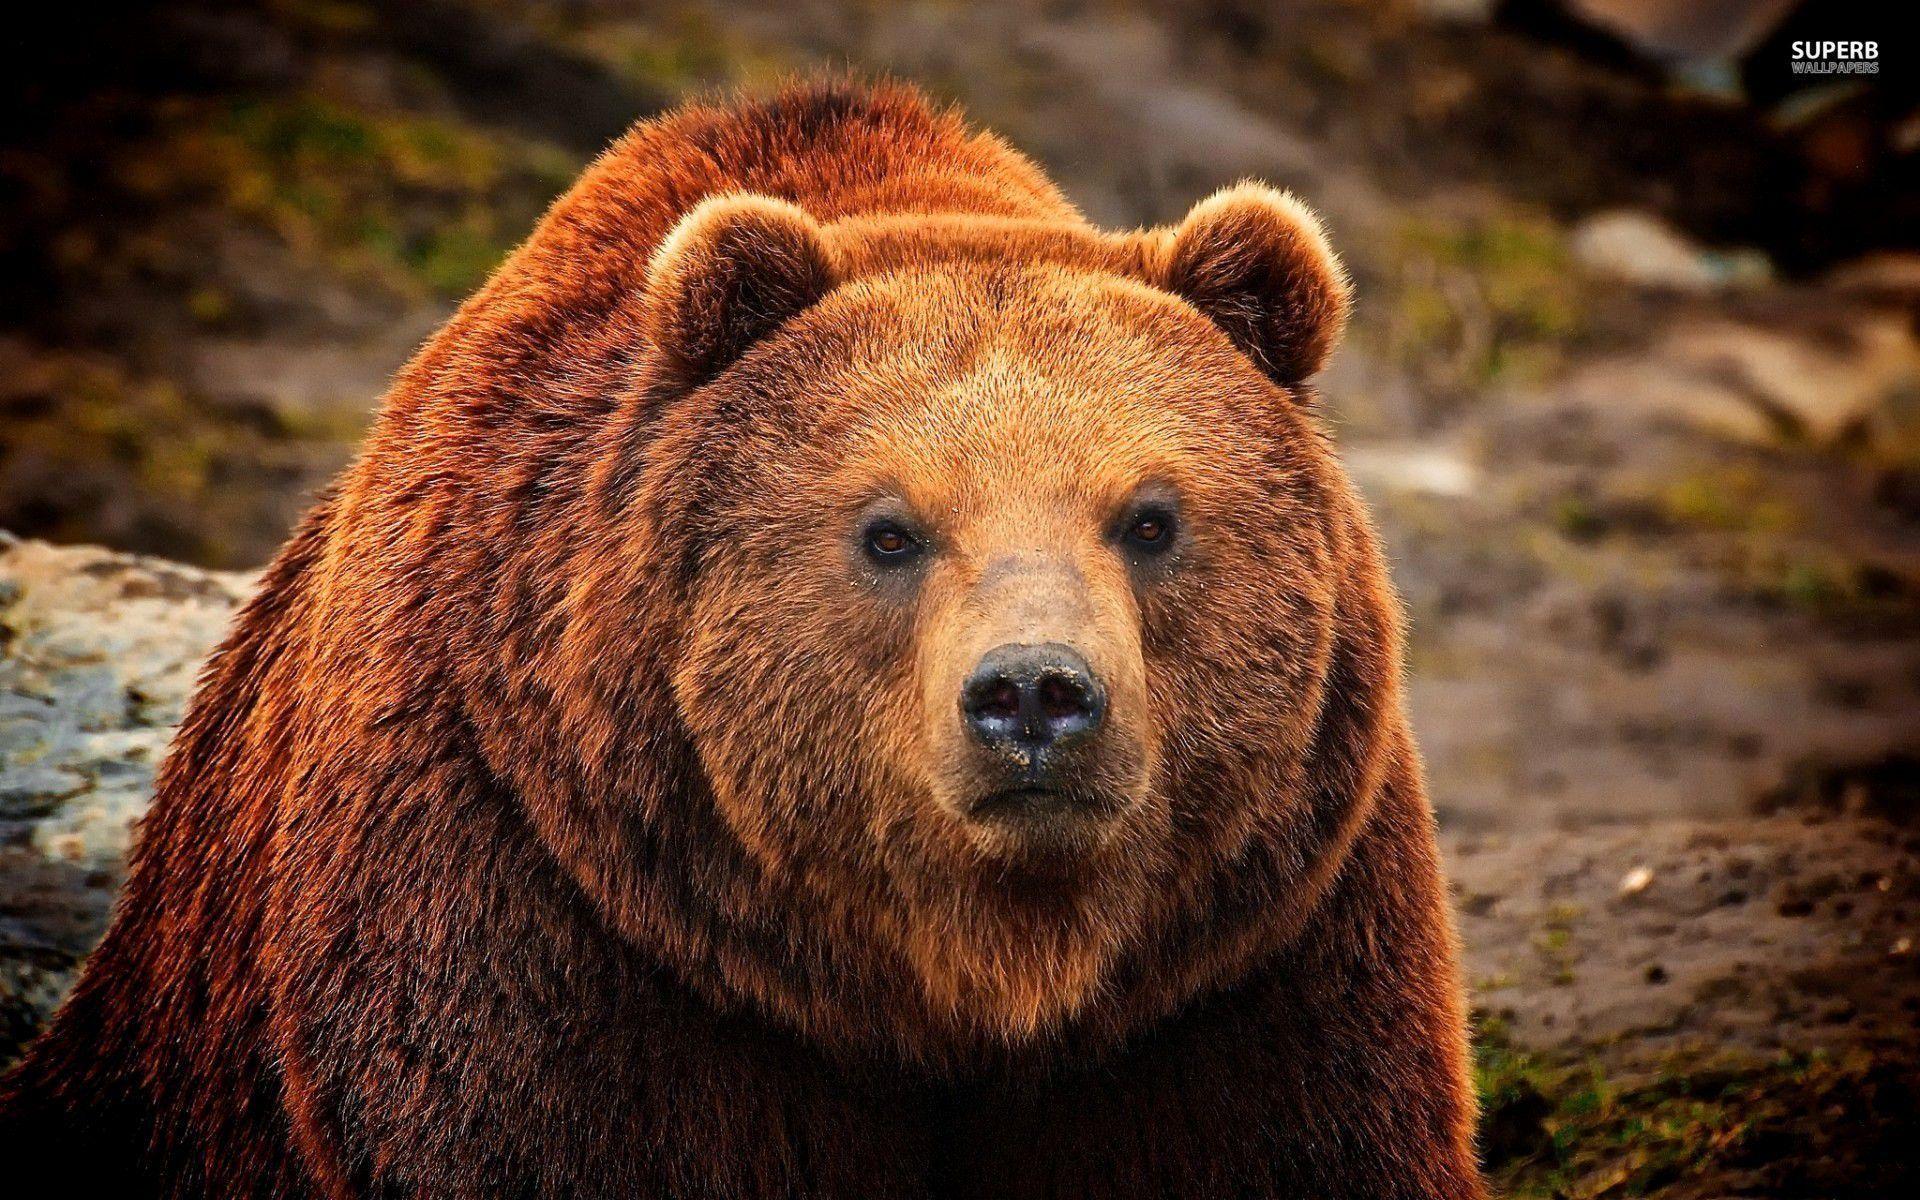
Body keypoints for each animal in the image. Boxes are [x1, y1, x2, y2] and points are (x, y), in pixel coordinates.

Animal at [0, 80, 1485, 1199]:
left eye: (1152, 516)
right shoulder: (552, 917)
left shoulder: (1243, 958)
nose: (1034, 697)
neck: (957, 980)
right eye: (889, 530)